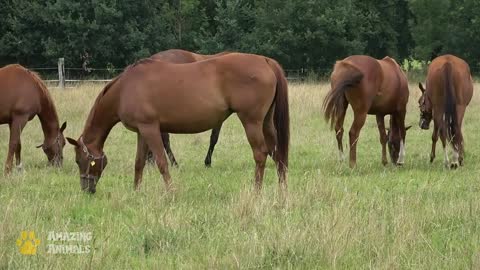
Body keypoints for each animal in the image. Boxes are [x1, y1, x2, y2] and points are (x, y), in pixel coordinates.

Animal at [65, 52, 286, 193]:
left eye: (79, 160)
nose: (87, 189)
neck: (125, 89)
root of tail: (265, 61)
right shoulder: (142, 131)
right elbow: (139, 163)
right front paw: (136, 191)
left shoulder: (150, 129)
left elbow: (162, 163)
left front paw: (171, 192)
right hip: (266, 122)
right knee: (277, 153)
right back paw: (281, 190)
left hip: (251, 121)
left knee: (260, 154)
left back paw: (256, 191)